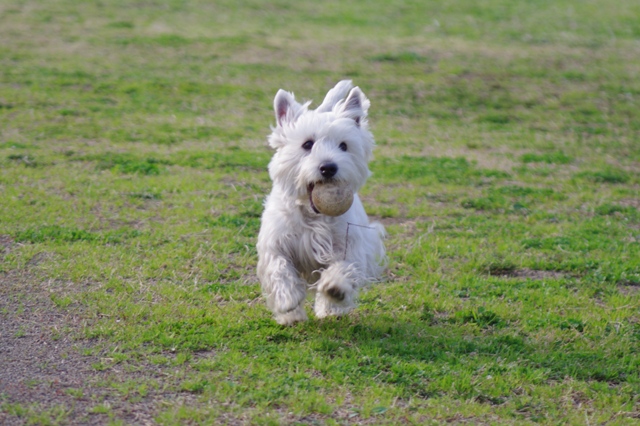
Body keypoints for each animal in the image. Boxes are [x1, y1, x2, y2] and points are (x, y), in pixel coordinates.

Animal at [256, 80, 384, 324]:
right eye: (307, 144)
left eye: (344, 146)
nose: (328, 167)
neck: (313, 216)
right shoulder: (276, 243)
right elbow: (279, 268)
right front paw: (288, 298)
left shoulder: (350, 244)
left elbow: (343, 266)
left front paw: (335, 287)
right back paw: (292, 317)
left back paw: (330, 309)